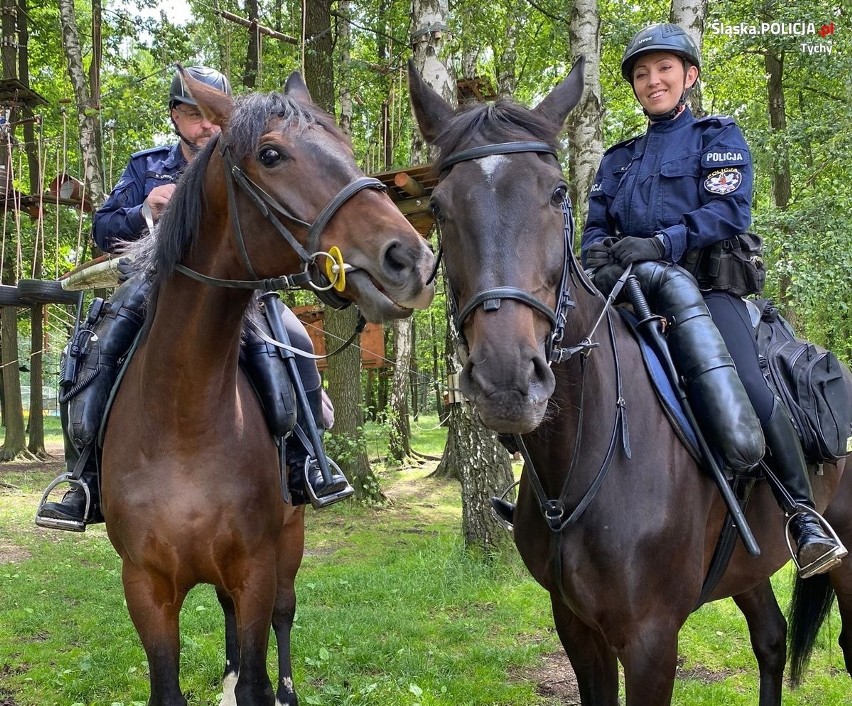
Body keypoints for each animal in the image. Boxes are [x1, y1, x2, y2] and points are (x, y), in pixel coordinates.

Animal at [103, 67, 436, 704]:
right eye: (271, 154)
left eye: (346, 147)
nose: (411, 260)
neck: (183, 419)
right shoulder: (145, 587)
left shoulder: (255, 567)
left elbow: (260, 662)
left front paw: (263, 686)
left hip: (291, 536)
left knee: (283, 613)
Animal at [408, 60, 852, 704]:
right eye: (440, 207)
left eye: (558, 193)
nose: (507, 379)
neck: (585, 458)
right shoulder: (576, 628)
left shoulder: (651, 641)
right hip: (748, 566)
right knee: (771, 639)